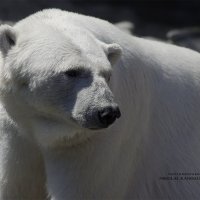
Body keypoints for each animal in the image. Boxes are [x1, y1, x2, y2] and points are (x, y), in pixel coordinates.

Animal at [0, 8, 200, 200]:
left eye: (107, 74)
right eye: (72, 71)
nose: (107, 112)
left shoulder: (94, 143)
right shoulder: (15, 133)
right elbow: (16, 185)